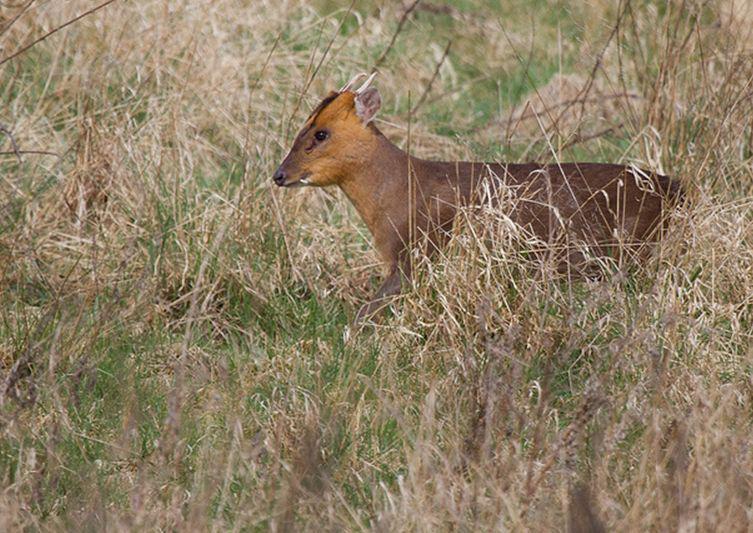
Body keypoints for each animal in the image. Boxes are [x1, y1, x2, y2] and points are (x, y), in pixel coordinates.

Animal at [274, 74, 684, 320]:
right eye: (303, 128)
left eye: (321, 133)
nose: (279, 175)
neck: (398, 196)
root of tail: (678, 189)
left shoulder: (421, 249)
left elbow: (368, 311)